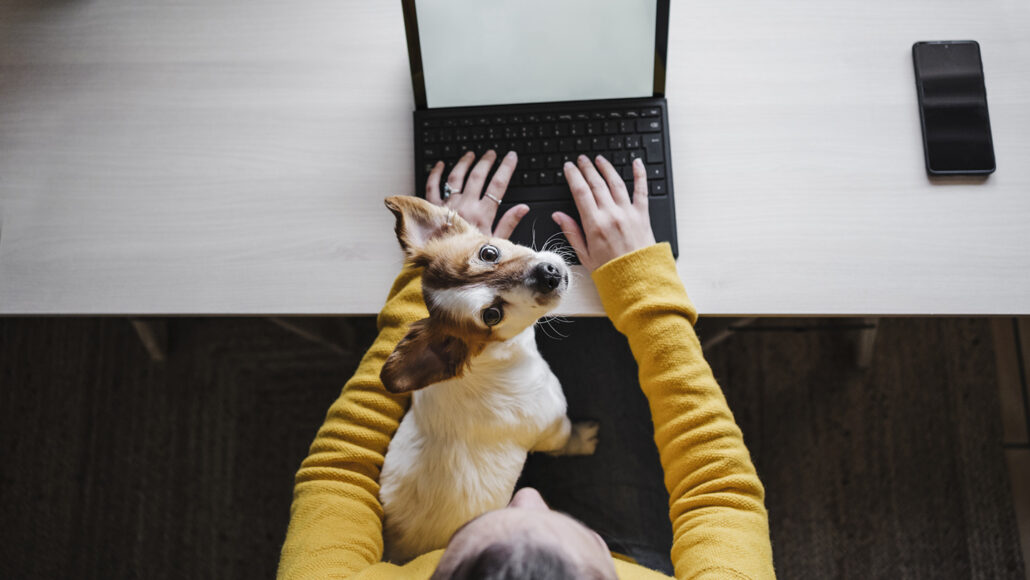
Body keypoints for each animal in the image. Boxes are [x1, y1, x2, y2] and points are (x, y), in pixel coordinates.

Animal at [379, 194, 601, 564]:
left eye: (488, 253)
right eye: (492, 315)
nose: (548, 274)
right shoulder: (551, 428)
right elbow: (567, 439)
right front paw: (584, 438)